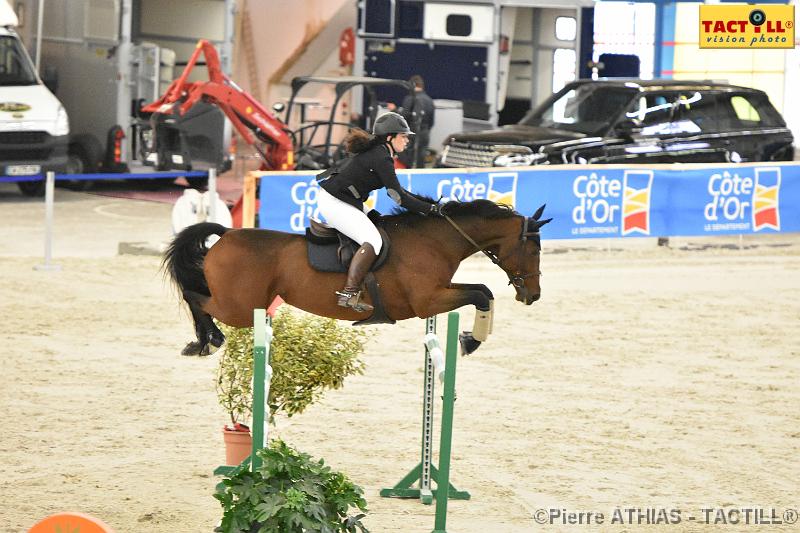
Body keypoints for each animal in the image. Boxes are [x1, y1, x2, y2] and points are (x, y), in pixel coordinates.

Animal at [162, 197, 552, 356]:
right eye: (534, 250)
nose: (533, 295)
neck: (435, 240)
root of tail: (226, 233)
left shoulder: (439, 293)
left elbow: (483, 291)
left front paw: (471, 339)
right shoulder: (428, 302)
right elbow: (482, 293)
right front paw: (471, 342)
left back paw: (202, 341)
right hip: (241, 308)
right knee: (197, 298)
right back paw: (208, 340)